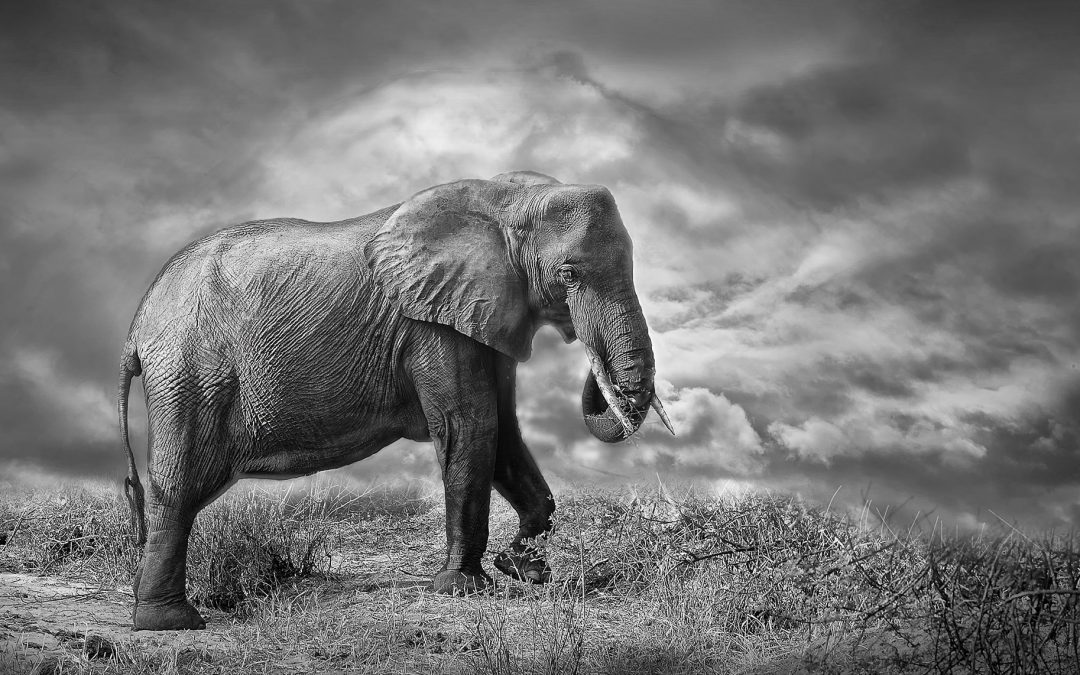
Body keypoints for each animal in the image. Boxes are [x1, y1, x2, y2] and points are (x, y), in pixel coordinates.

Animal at [118, 171, 674, 630]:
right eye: (569, 275)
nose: (589, 358)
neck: (509, 198)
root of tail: (136, 326)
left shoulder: (482, 313)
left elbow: (504, 433)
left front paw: (524, 567)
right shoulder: (431, 322)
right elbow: (472, 426)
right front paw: (464, 587)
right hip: (190, 370)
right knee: (181, 485)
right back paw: (171, 624)